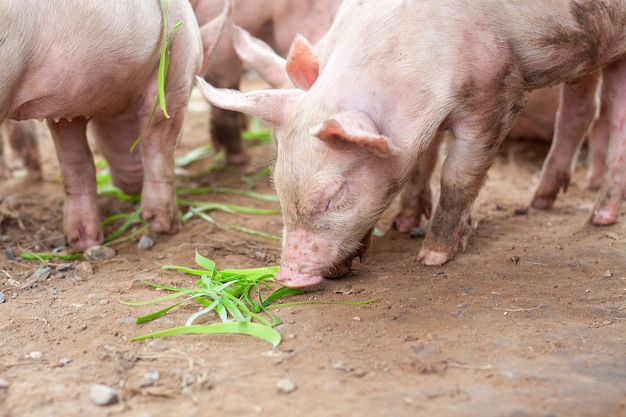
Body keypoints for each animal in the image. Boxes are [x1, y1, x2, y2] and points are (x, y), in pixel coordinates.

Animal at [0, 0, 229, 250]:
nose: (131, 185)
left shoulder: (65, 106)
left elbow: (75, 161)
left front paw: (85, 242)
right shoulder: (178, 73)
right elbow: (160, 142)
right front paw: (166, 226)